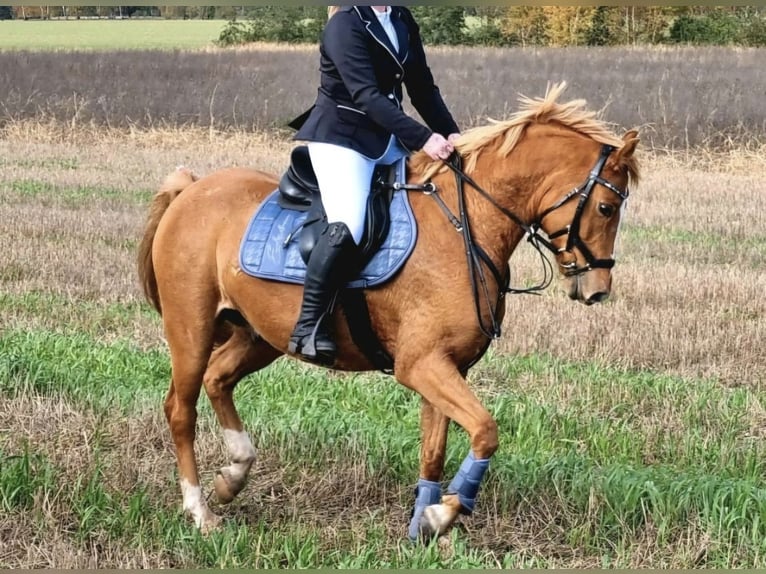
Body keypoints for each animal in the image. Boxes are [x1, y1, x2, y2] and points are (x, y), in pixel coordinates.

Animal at [137, 83, 639, 541]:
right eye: (606, 206)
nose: (597, 290)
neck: (465, 225)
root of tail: (193, 189)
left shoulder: (445, 366)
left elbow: (434, 450)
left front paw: (424, 529)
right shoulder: (421, 365)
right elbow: (486, 429)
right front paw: (444, 513)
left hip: (259, 336)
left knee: (218, 378)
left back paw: (233, 475)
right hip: (191, 328)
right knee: (181, 408)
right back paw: (200, 510)